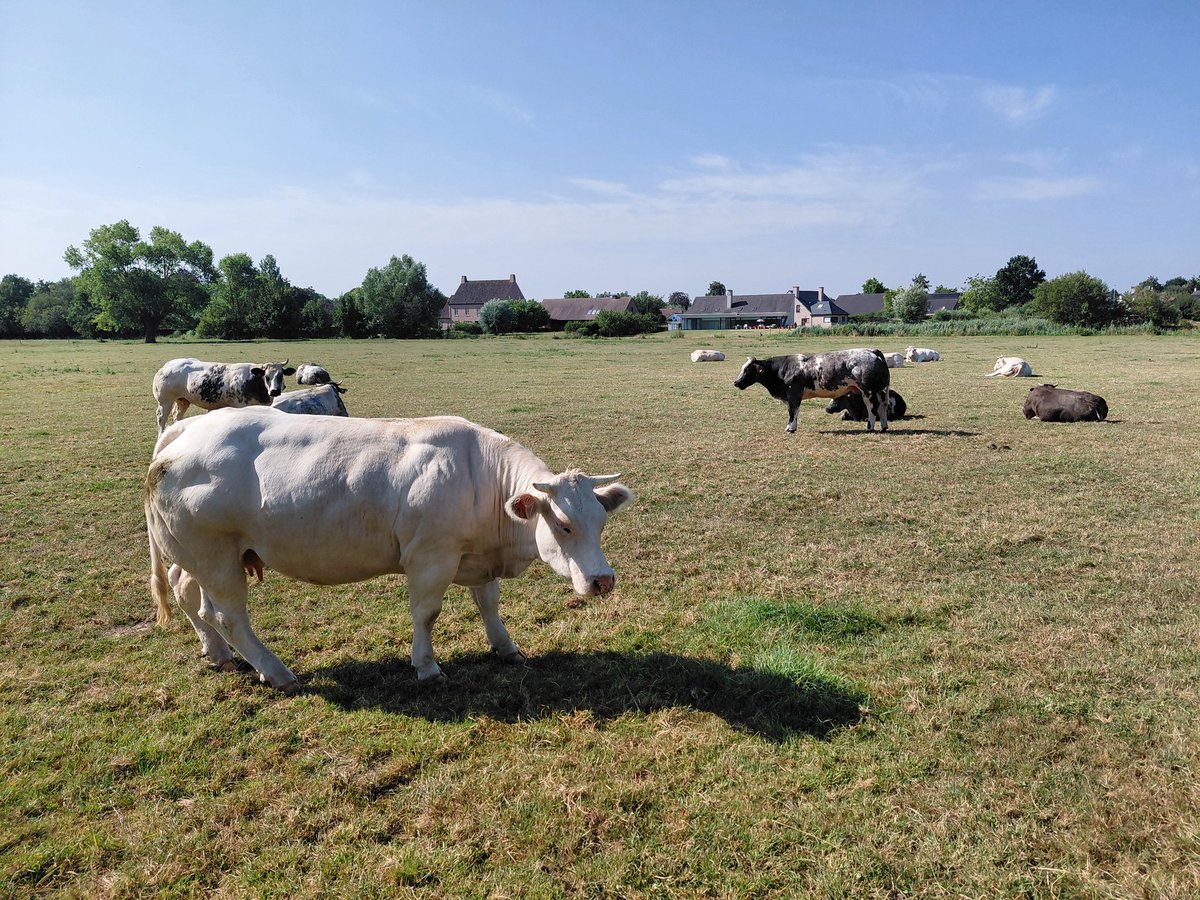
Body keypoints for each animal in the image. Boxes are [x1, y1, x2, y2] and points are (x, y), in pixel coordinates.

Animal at [145, 408, 634, 688]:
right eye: (564, 526)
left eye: (601, 521)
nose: (603, 581)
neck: (483, 480)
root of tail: (186, 430)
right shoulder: (431, 557)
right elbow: (427, 613)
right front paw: (426, 666)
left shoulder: (473, 555)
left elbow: (488, 604)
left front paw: (506, 647)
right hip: (215, 556)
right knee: (230, 616)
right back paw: (279, 673)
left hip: (202, 556)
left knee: (192, 596)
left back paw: (219, 655)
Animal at [152, 357, 295, 435]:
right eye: (267, 376)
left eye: (280, 375)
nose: (275, 391)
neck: (254, 381)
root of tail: (169, 365)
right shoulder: (241, 406)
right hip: (165, 401)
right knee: (161, 419)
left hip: (183, 400)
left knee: (177, 415)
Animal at [734, 348, 891, 433]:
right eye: (742, 368)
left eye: (748, 370)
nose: (736, 382)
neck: (782, 369)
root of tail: (871, 351)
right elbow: (794, 413)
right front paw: (792, 427)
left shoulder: (793, 396)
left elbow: (793, 412)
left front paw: (790, 428)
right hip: (880, 391)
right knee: (883, 407)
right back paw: (883, 427)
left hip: (868, 392)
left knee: (872, 409)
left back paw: (870, 428)